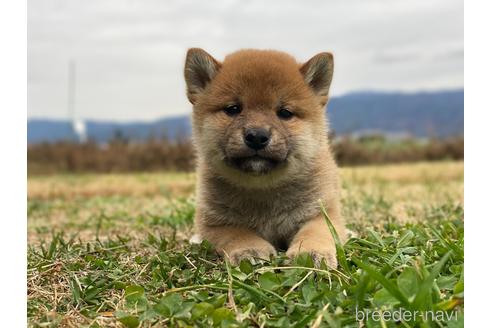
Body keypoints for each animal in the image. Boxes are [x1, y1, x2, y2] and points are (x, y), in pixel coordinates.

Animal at [184, 49, 346, 270]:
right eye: (233, 109)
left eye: (284, 113)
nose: (257, 136)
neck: (263, 189)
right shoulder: (214, 224)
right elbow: (237, 233)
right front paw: (250, 248)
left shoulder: (321, 213)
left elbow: (315, 232)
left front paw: (310, 252)